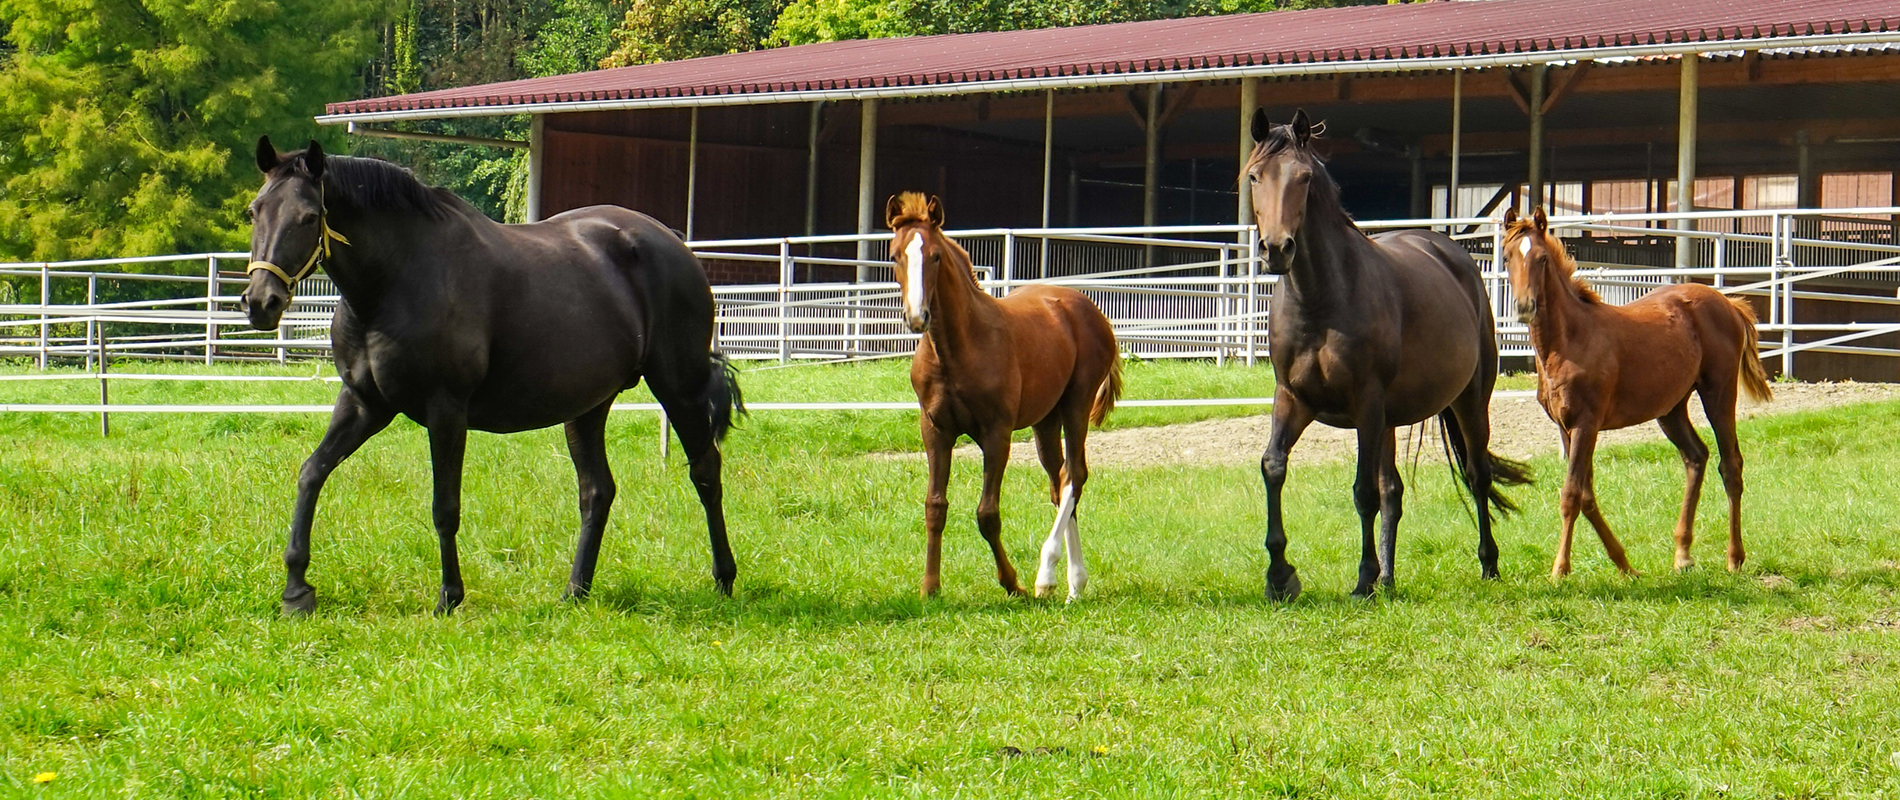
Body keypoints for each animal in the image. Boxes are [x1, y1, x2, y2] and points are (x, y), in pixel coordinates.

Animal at [239, 136, 741, 615]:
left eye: (308, 217)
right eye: (254, 211)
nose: (261, 302)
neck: (396, 280)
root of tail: (671, 240)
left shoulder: (446, 410)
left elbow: (444, 506)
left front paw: (449, 596)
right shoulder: (364, 404)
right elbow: (311, 473)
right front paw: (296, 591)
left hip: (678, 387)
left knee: (705, 473)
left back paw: (723, 579)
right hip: (588, 407)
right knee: (597, 492)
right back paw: (574, 592)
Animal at [889, 194, 1124, 600]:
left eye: (935, 256)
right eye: (894, 256)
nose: (917, 317)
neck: (958, 347)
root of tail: (1088, 308)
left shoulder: (996, 434)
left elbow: (987, 513)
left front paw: (1012, 583)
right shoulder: (934, 430)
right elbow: (935, 506)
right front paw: (930, 588)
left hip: (1076, 403)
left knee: (1075, 475)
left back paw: (1049, 577)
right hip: (1046, 420)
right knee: (1060, 483)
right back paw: (1072, 584)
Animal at [1246, 112, 1527, 600]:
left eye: (1304, 178)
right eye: (1254, 176)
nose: (1277, 249)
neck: (1321, 299)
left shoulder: (1366, 404)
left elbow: (1363, 493)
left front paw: (1362, 579)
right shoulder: (1293, 398)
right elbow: (1274, 466)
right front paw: (1280, 576)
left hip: (1469, 401)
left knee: (1477, 476)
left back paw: (1488, 564)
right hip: (1391, 420)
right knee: (1393, 489)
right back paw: (1391, 578)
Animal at [1504, 206, 1770, 573]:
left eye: (1542, 258)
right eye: (1506, 256)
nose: (1524, 306)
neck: (1569, 340)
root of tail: (1728, 303)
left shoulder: (1586, 423)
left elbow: (1571, 494)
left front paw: (1560, 569)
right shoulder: (1565, 427)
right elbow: (1586, 495)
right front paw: (1625, 565)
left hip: (1718, 392)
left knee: (1730, 464)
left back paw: (1734, 558)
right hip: (1671, 409)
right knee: (1696, 456)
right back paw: (1682, 554)